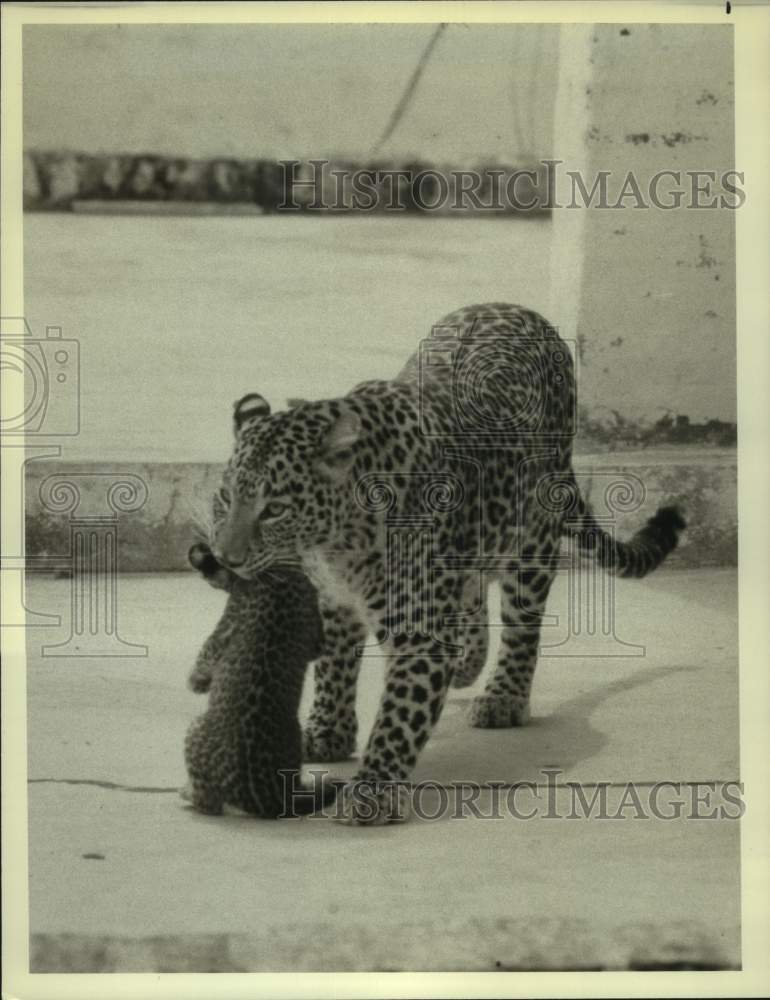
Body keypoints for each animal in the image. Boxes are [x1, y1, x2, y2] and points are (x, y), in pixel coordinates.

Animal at [181, 541, 335, 818]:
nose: (196, 553)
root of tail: (276, 798)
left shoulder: (230, 619)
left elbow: (209, 648)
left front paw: (196, 681)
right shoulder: (316, 638)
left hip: (195, 729)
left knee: (209, 804)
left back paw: (188, 795)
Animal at [205, 302, 685, 825]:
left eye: (273, 509)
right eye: (225, 498)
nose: (225, 557)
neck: (335, 541)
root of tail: (520, 309)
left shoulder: (418, 634)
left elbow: (398, 715)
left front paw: (373, 790)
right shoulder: (335, 601)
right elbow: (335, 665)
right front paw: (328, 731)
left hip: (533, 539)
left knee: (521, 626)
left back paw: (503, 697)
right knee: (471, 589)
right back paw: (468, 661)